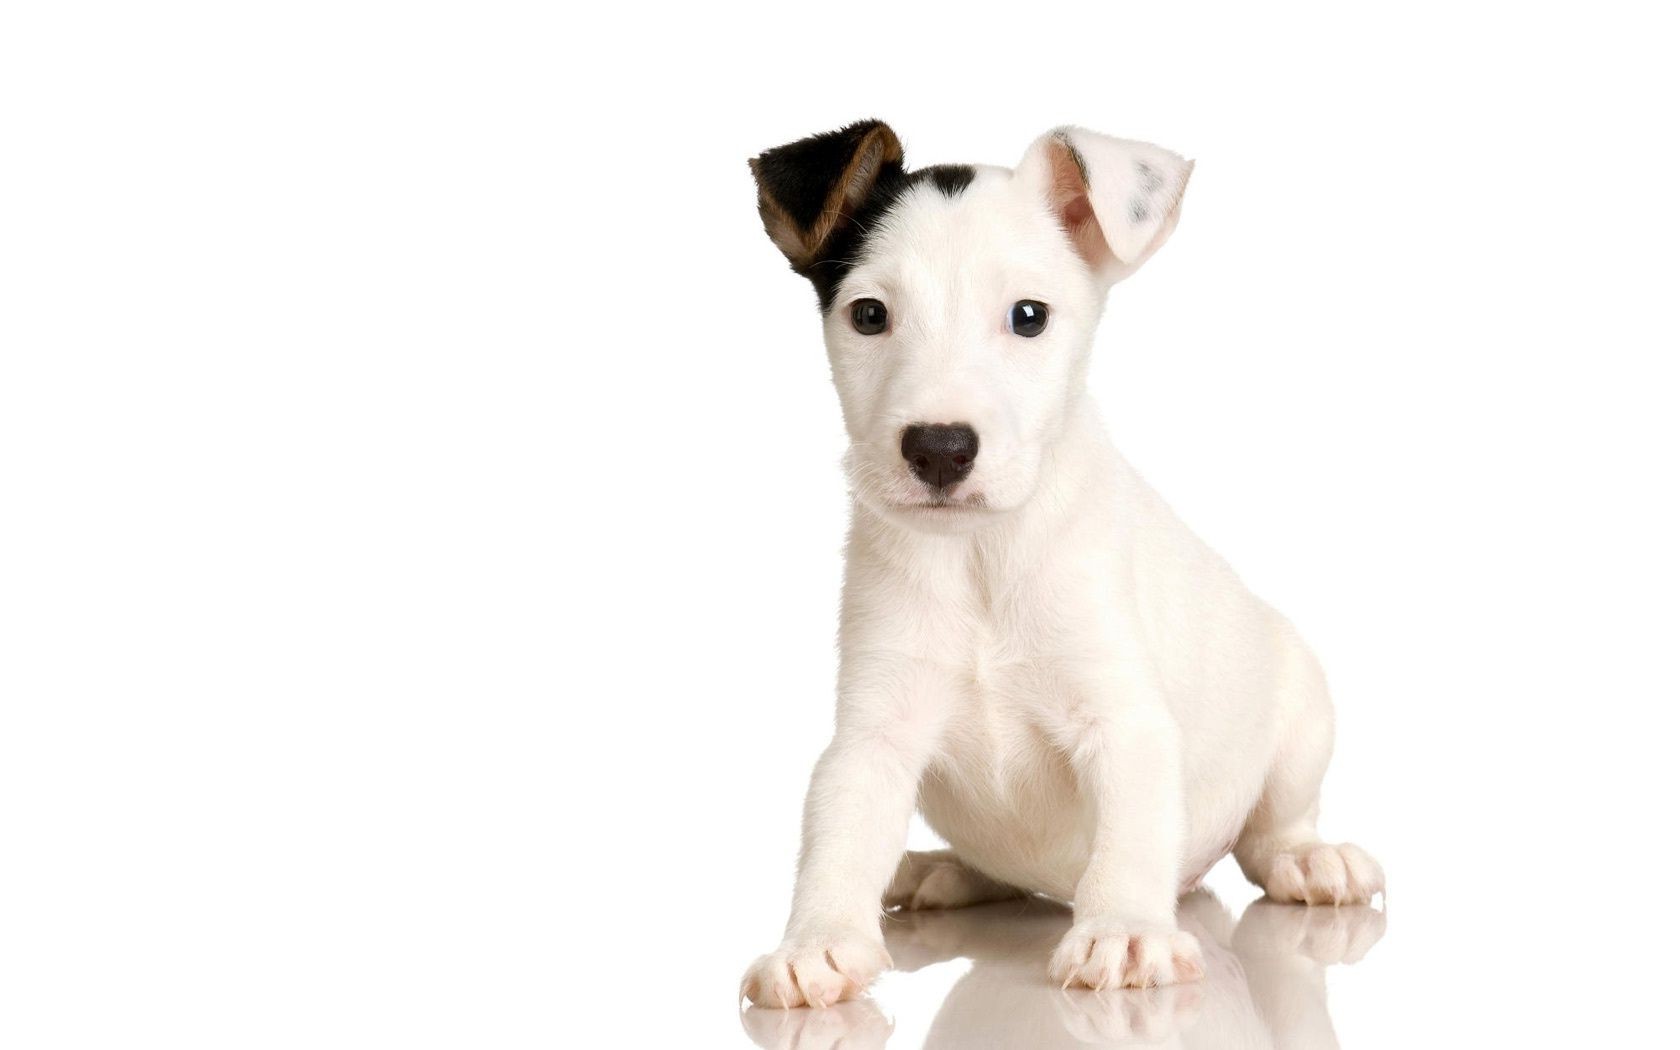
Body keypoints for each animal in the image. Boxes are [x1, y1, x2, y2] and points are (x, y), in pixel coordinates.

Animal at [742, 122, 1384, 1007]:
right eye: (869, 315)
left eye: (1028, 317)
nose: (939, 449)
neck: (981, 556)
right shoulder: (873, 735)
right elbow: (839, 834)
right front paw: (818, 940)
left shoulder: (1124, 719)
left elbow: (1130, 833)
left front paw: (1125, 929)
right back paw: (944, 871)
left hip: (1299, 716)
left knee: (1270, 829)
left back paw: (1308, 858)